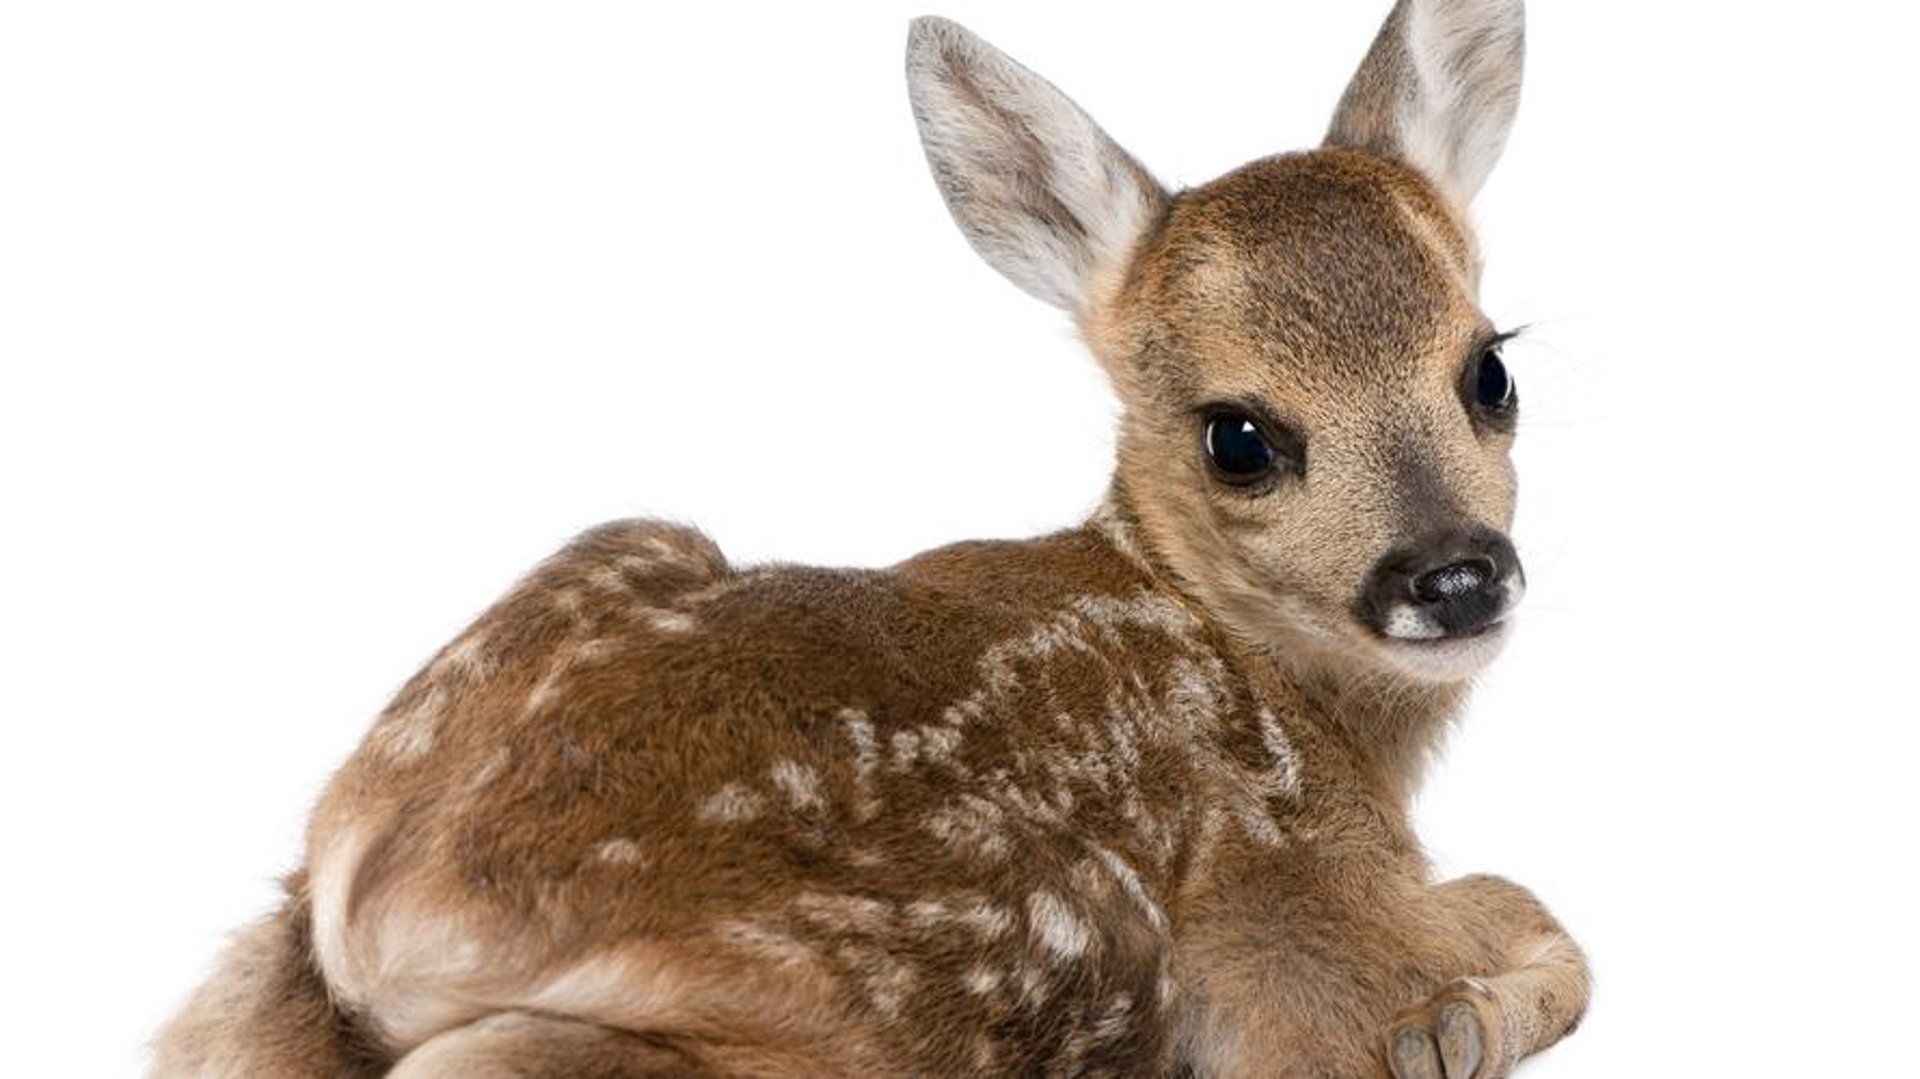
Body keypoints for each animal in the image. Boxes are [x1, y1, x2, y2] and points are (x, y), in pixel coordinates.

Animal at [153, 1, 1589, 1075]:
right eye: (1238, 435)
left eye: (1490, 369)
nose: (1454, 572)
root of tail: (385, 910)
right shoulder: (1289, 932)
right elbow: (1539, 927)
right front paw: (1456, 1026)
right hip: (894, 995)